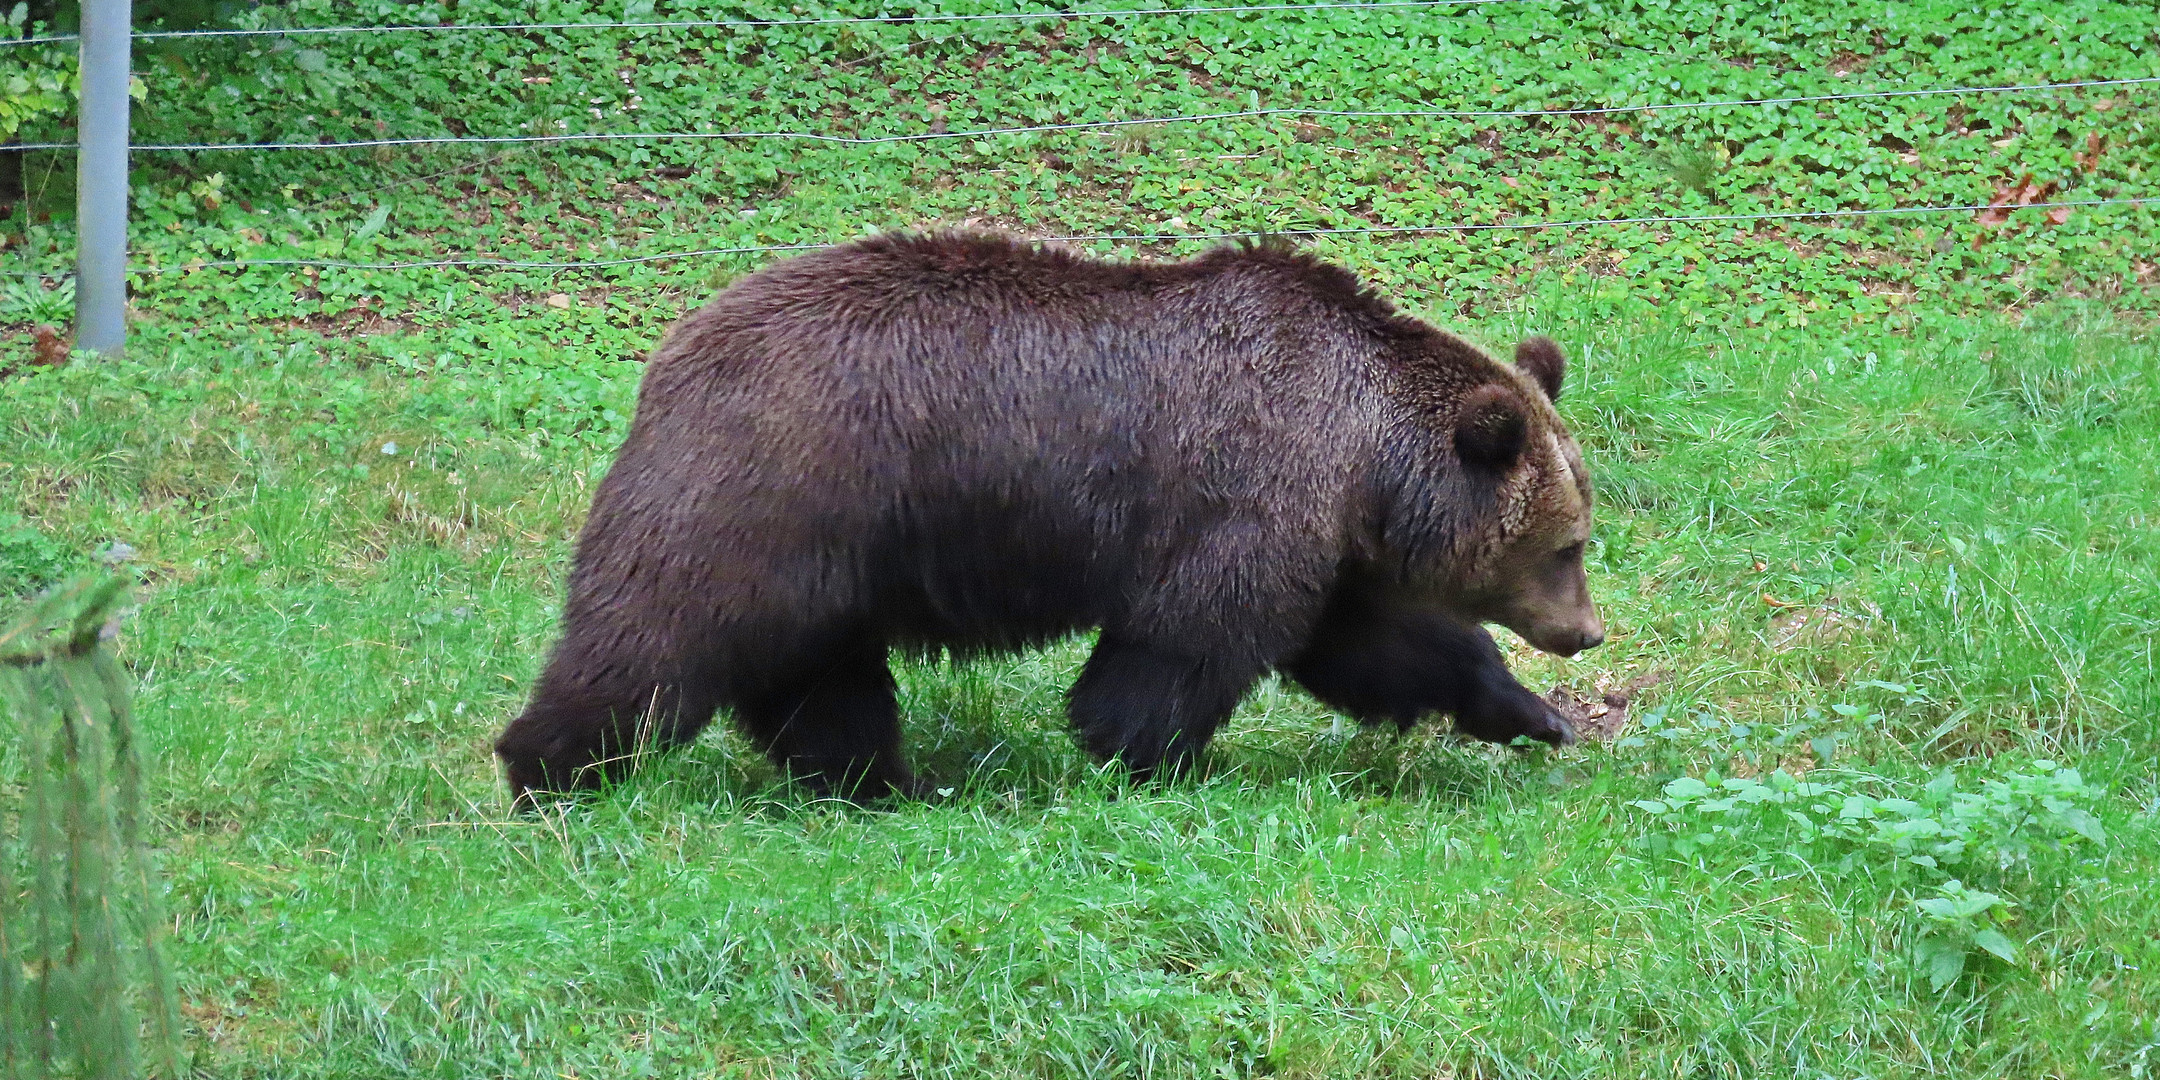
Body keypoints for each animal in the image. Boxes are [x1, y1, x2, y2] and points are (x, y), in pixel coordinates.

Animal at [494, 230, 1607, 803]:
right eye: (1569, 543)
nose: (1586, 631)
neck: (1364, 459)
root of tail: (669, 358)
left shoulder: (1320, 543)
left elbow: (1375, 645)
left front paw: (1531, 714)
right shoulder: (1242, 500)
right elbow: (1184, 644)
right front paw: (1145, 754)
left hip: (830, 557)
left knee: (819, 679)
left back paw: (879, 783)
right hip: (769, 494)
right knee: (653, 642)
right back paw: (547, 770)